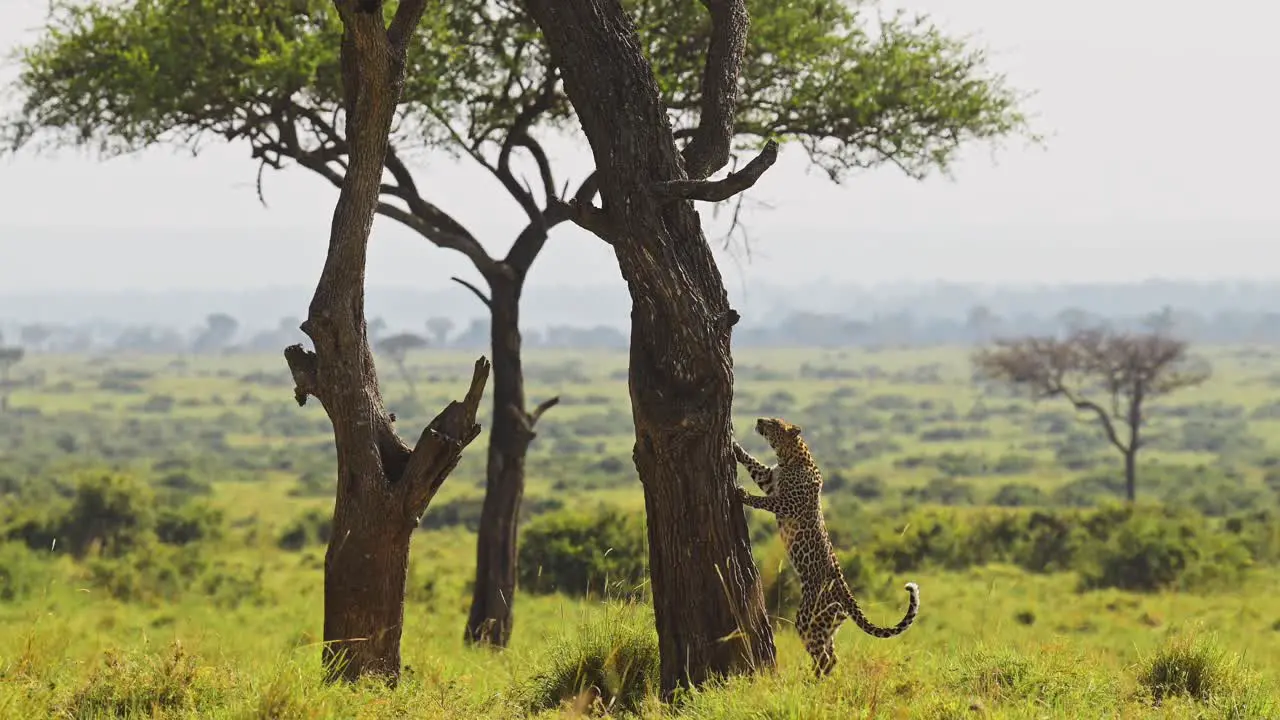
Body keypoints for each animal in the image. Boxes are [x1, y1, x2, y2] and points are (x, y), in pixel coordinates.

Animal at [732, 415, 921, 671]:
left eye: (774, 423)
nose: (760, 419)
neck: (789, 458)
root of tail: (846, 593)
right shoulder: (769, 479)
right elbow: (753, 463)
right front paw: (734, 446)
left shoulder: (787, 503)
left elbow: (764, 501)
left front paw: (743, 494)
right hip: (828, 624)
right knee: (832, 655)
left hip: (809, 618)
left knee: (824, 656)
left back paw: (811, 677)